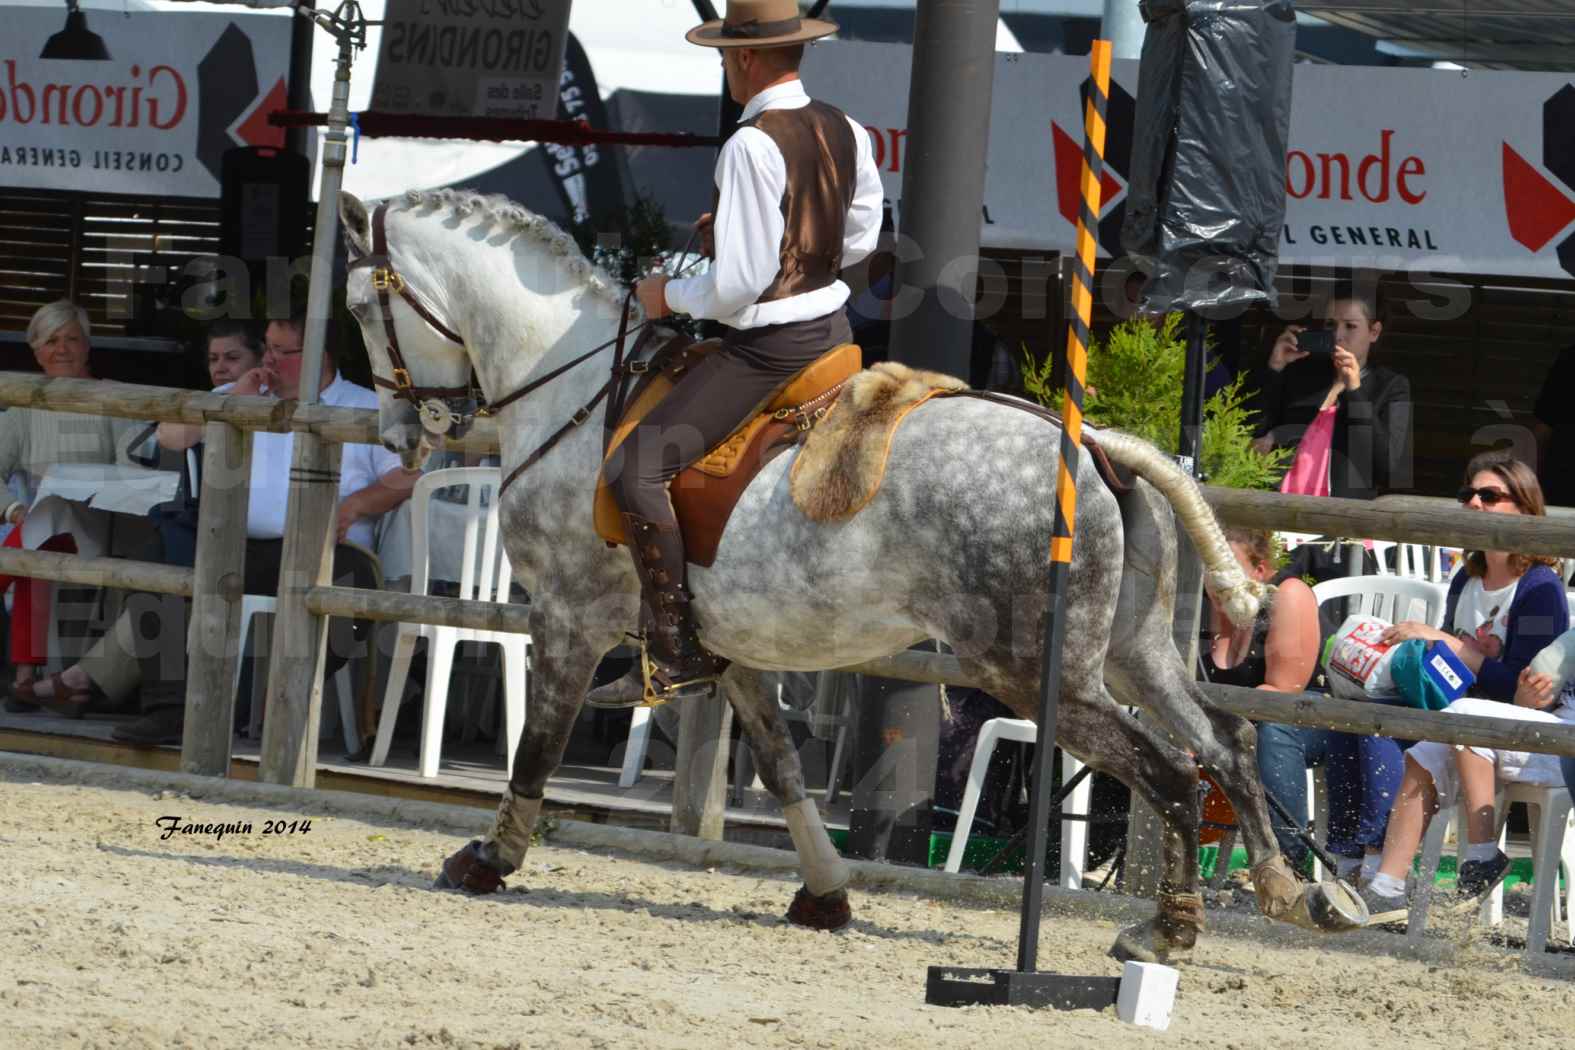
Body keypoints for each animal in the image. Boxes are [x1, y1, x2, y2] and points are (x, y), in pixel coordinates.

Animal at [335, 186, 1367, 963]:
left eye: (354, 310)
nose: (401, 431)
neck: (577, 390)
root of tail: (1094, 446)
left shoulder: (567, 618)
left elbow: (538, 747)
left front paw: (489, 858)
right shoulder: (731, 647)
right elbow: (782, 765)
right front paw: (826, 890)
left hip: (1037, 673)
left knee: (1170, 771)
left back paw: (1167, 933)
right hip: (1130, 653)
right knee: (1226, 744)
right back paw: (1291, 892)